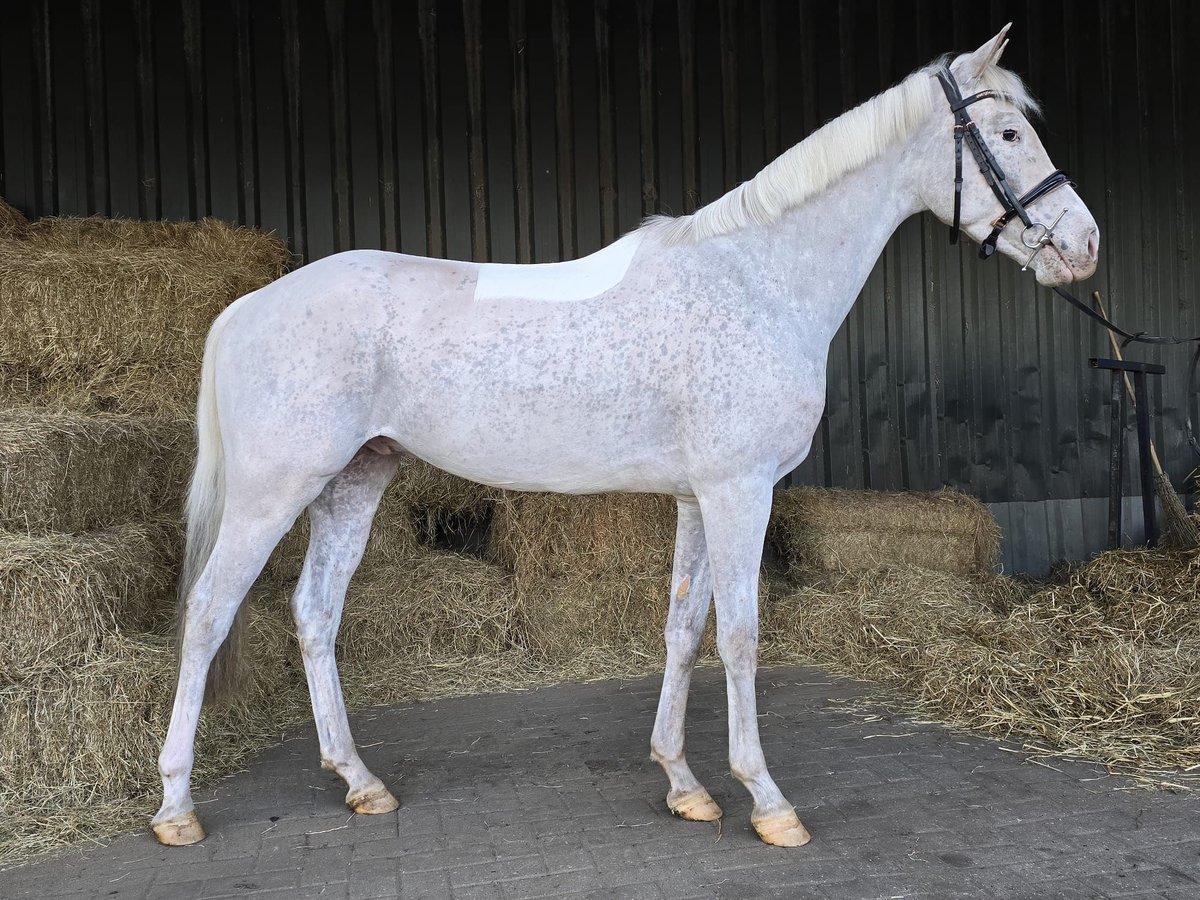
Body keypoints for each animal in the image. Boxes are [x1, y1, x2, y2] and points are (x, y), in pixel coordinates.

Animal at [152, 24, 1099, 849]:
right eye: (1008, 132)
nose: (1085, 245)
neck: (756, 278)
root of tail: (245, 306)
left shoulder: (698, 498)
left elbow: (683, 628)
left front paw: (684, 784)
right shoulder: (739, 491)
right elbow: (740, 636)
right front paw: (767, 801)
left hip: (354, 481)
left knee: (315, 614)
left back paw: (360, 782)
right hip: (273, 491)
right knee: (207, 613)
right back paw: (176, 808)